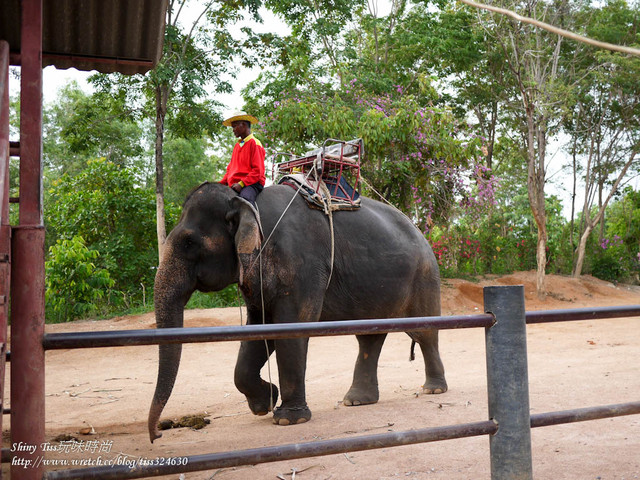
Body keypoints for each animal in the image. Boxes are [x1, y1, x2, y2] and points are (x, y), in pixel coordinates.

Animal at [148, 183, 448, 442]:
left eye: (189, 243)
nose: (157, 435)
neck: (249, 205)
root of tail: (422, 233)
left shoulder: (302, 265)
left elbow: (292, 326)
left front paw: (287, 419)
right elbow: (260, 329)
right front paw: (264, 403)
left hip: (424, 277)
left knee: (424, 334)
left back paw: (432, 389)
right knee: (368, 339)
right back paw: (356, 401)